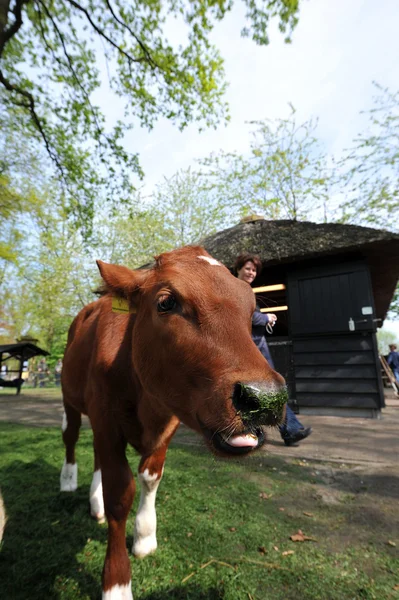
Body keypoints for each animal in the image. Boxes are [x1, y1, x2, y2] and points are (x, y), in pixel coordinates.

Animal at [61, 246, 288, 596]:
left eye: (251, 311)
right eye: (166, 302)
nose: (265, 399)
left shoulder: (167, 422)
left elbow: (150, 477)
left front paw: (144, 536)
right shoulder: (107, 420)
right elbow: (119, 496)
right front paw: (116, 583)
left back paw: (94, 504)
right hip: (69, 397)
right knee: (71, 436)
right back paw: (69, 480)